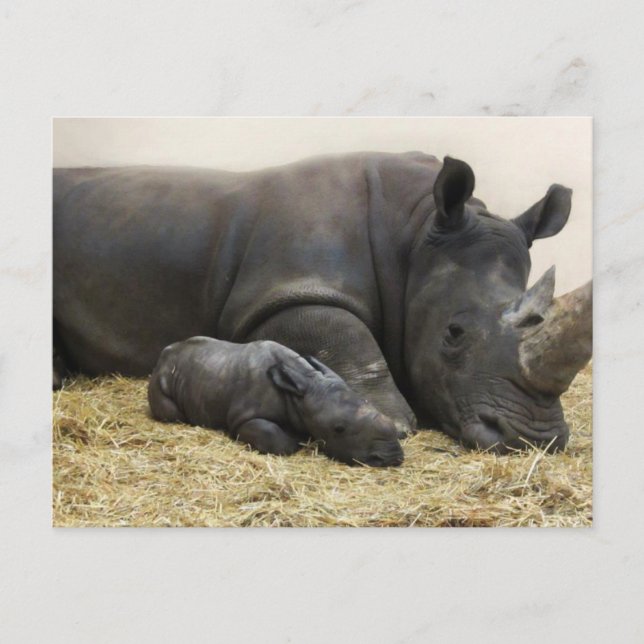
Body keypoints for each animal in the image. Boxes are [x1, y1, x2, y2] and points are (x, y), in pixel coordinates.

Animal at [53, 151, 592, 453]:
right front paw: (394, 422)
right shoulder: (281, 293)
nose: (535, 440)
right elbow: (345, 334)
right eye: (453, 335)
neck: (415, 233)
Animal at [148, 336, 404, 466]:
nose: (393, 457)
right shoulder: (243, 419)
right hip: (161, 376)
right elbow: (276, 439)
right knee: (171, 413)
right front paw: (295, 440)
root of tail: (163, 354)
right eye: (338, 429)